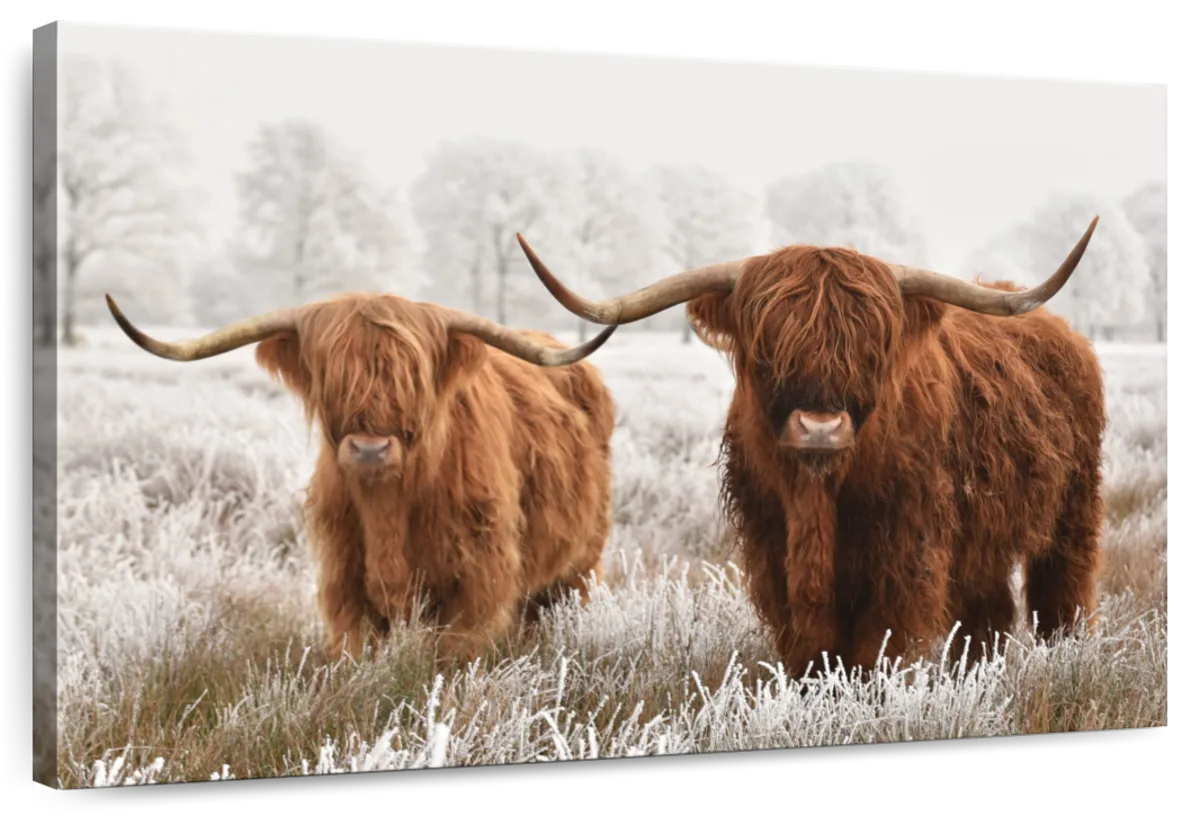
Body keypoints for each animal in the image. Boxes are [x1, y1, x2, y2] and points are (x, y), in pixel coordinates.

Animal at [104, 291, 619, 667]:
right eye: (330, 375)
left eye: (412, 376)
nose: (370, 449)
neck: (388, 507)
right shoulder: (344, 582)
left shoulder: (478, 583)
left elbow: (452, 657)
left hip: (579, 565)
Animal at [513, 218, 1106, 679]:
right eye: (766, 345)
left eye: (873, 347)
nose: (820, 427)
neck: (817, 498)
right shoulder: (772, 550)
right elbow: (810, 651)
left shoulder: (905, 554)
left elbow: (875, 649)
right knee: (990, 614)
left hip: (1073, 511)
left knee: (1061, 596)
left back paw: (1065, 661)